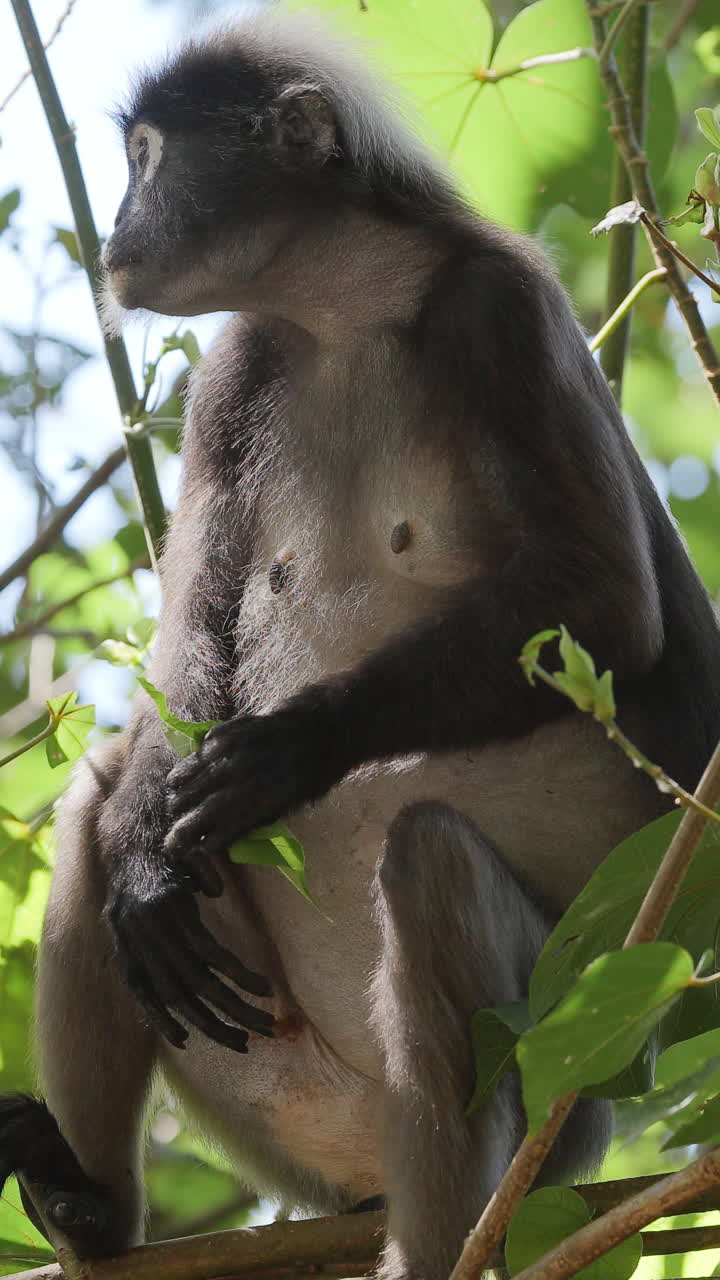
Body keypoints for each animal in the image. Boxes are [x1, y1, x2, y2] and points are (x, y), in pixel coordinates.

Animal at [2, 9, 720, 1278]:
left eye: (143, 159)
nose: (118, 229)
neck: (346, 311)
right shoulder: (232, 374)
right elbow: (188, 654)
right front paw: (144, 858)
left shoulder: (502, 310)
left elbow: (604, 605)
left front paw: (293, 750)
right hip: (274, 1082)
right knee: (104, 781)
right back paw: (88, 1206)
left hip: (574, 1061)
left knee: (429, 863)